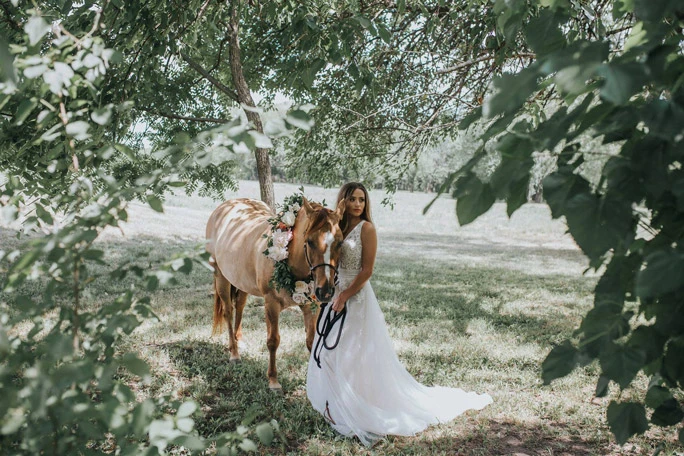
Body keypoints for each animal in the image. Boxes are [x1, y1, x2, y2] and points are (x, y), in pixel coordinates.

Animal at [202, 196, 342, 392]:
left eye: (340, 242)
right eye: (310, 241)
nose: (326, 291)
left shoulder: (309, 306)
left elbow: (310, 340)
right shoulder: (272, 304)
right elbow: (273, 341)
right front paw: (273, 381)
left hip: (241, 282)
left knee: (240, 306)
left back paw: (239, 340)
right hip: (221, 277)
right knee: (228, 312)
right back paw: (234, 352)